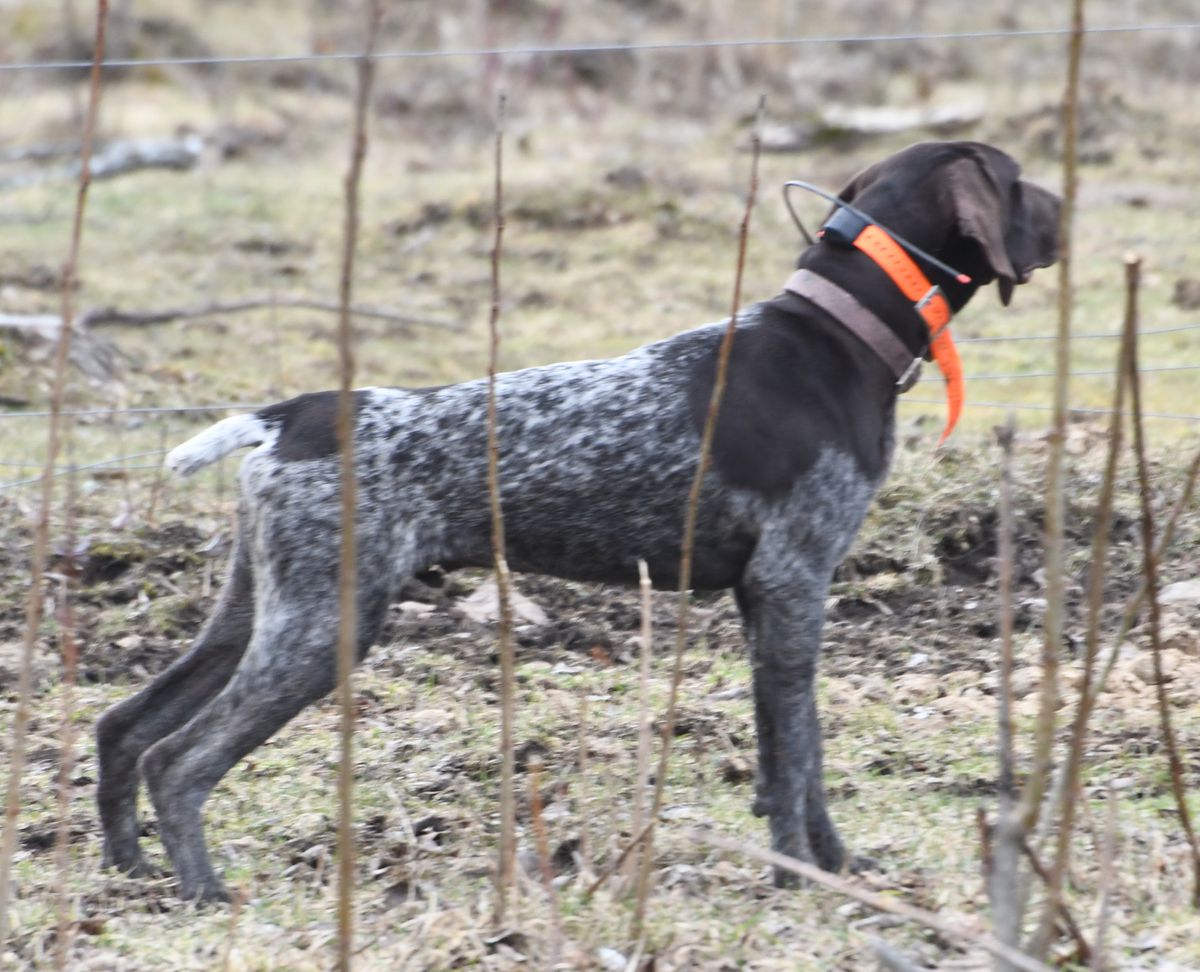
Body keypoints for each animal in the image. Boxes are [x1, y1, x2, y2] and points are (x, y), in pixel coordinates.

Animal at [100, 140, 1060, 897]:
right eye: (1018, 183)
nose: (1063, 212)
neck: (842, 335)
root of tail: (289, 416)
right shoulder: (794, 584)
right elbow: (793, 764)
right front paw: (799, 875)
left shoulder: (770, 600)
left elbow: (804, 752)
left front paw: (837, 865)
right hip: (321, 626)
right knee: (176, 760)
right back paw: (203, 891)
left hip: (262, 608)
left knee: (125, 728)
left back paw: (130, 869)